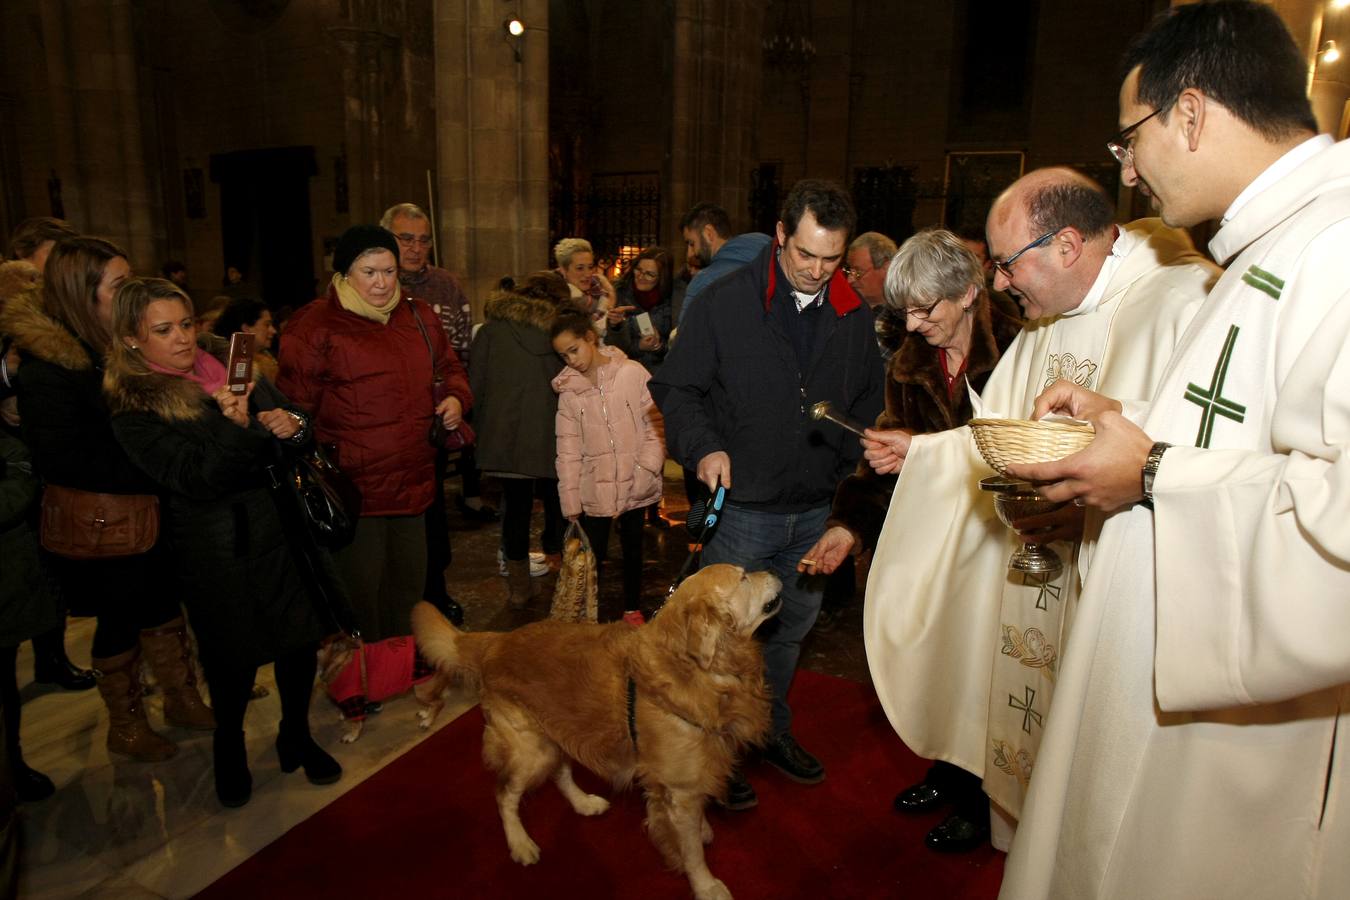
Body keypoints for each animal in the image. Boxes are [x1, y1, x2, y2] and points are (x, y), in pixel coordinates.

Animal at [410, 564, 783, 900]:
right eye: (743, 577)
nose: (777, 572)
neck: (696, 669)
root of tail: (495, 641)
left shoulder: (695, 770)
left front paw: (703, 829)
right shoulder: (679, 787)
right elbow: (691, 851)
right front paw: (706, 885)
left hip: (555, 732)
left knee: (560, 773)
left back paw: (584, 803)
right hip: (530, 749)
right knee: (504, 795)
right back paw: (520, 843)